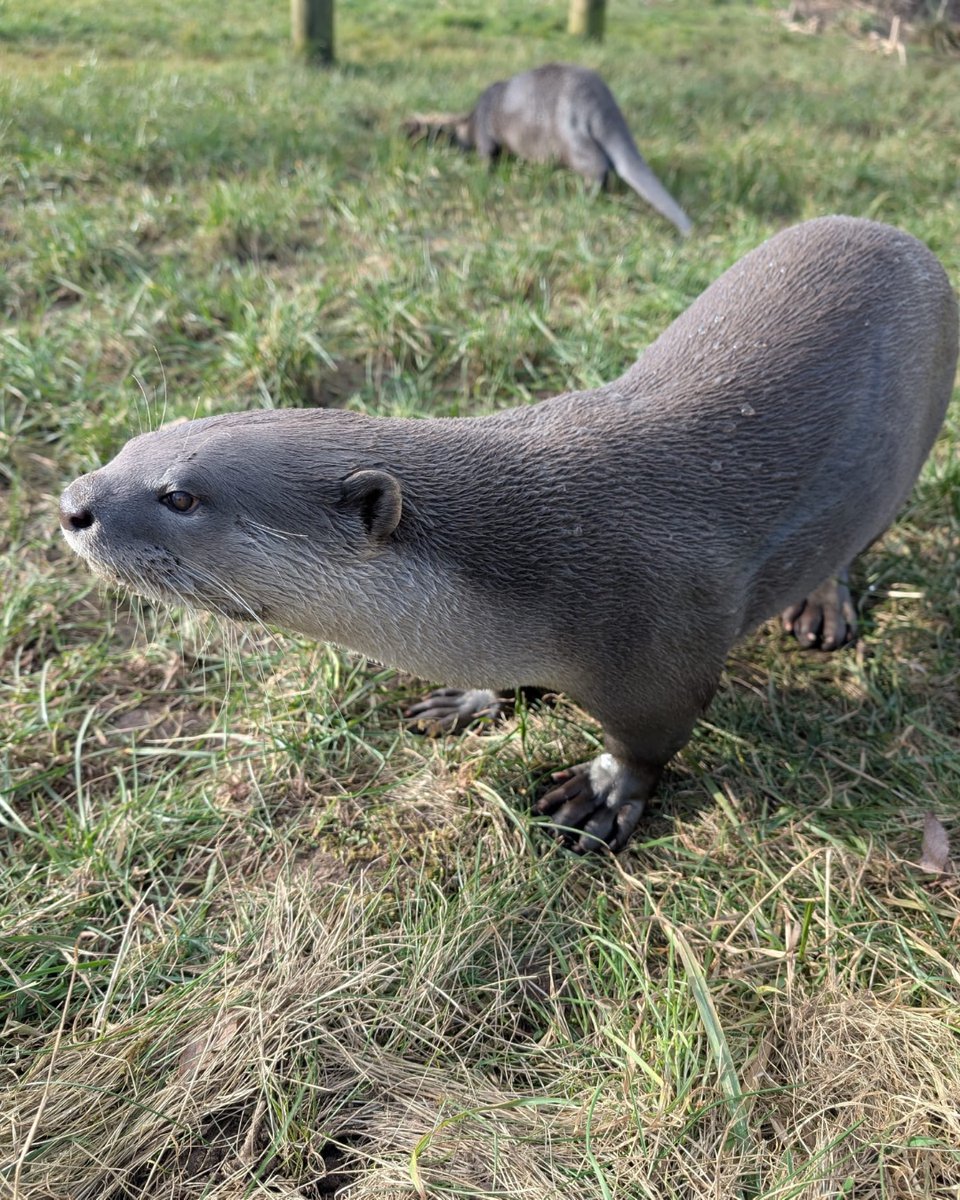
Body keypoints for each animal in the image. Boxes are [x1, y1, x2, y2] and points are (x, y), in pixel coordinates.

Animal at [59, 217, 958, 852]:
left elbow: (651, 741)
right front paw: (470, 701)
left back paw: (823, 608)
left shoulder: (665, 646)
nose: (73, 503)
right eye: (131, 445)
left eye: (181, 496)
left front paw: (601, 794)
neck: (544, 563)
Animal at [405, 63, 693, 236]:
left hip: (571, 139)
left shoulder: (486, 137)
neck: (474, 120)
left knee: (597, 167)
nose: (462, 150)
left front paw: (484, 172)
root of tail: (602, 106)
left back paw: (585, 196)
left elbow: (488, 156)